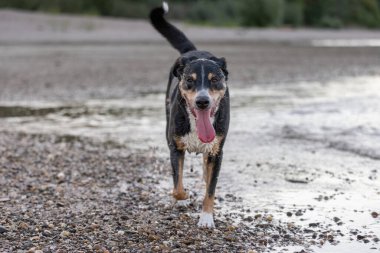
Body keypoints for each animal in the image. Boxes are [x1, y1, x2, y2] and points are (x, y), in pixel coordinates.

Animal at [150, 1, 230, 227]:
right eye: (189, 80)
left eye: (214, 80)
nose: (202, 101)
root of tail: (194, 51)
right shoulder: (175, 147)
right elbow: (177, 186)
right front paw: (183, 198)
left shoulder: (217, 152)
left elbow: (211, 189)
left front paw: (206, 218)